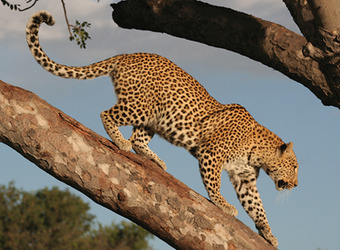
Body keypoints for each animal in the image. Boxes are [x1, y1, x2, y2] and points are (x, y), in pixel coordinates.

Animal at [26, 10, 298, 247]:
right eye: (294, 166)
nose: (296, 186)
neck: (258, 153)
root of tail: (127, 55)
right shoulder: (212, 154)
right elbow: (214, 184)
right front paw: (223, 205)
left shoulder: (245, 177)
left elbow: (257, 207)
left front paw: (268, 233)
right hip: (139, 106)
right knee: (107, 115)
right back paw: (121, 142)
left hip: (154, 117)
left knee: (138, 139)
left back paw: (154, 160)